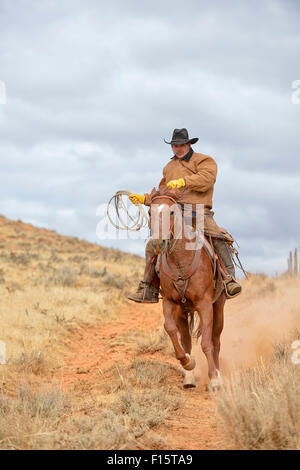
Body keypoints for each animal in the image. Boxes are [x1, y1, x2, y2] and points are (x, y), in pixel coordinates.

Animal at [150, 189, 225, 392]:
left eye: (171, 212)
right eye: (150, 213)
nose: (158, 243)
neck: (181, 261)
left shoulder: (205, 305)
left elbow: (207, 343)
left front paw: (214, 380)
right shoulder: (170, 302)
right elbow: (170, 330)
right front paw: (187, 363)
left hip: (219, 306)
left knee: (216, 340)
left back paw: (218, 374)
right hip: (182, 313)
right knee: (186, 340)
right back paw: (189, 378)